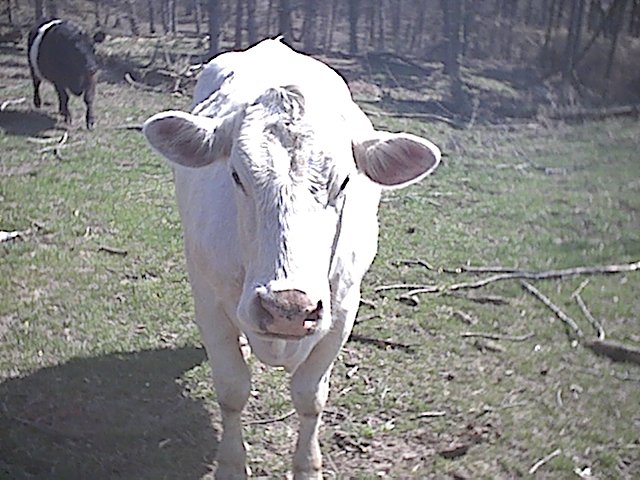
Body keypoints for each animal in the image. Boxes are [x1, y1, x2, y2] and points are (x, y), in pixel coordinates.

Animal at [143, 38, 441, 479]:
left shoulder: (342, 309)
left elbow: (310, 395)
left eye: (345, 181)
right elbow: (232, 389)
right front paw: (231, 464)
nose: (288, 306)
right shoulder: (208, 301)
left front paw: (308, 465)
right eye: (236, 175)